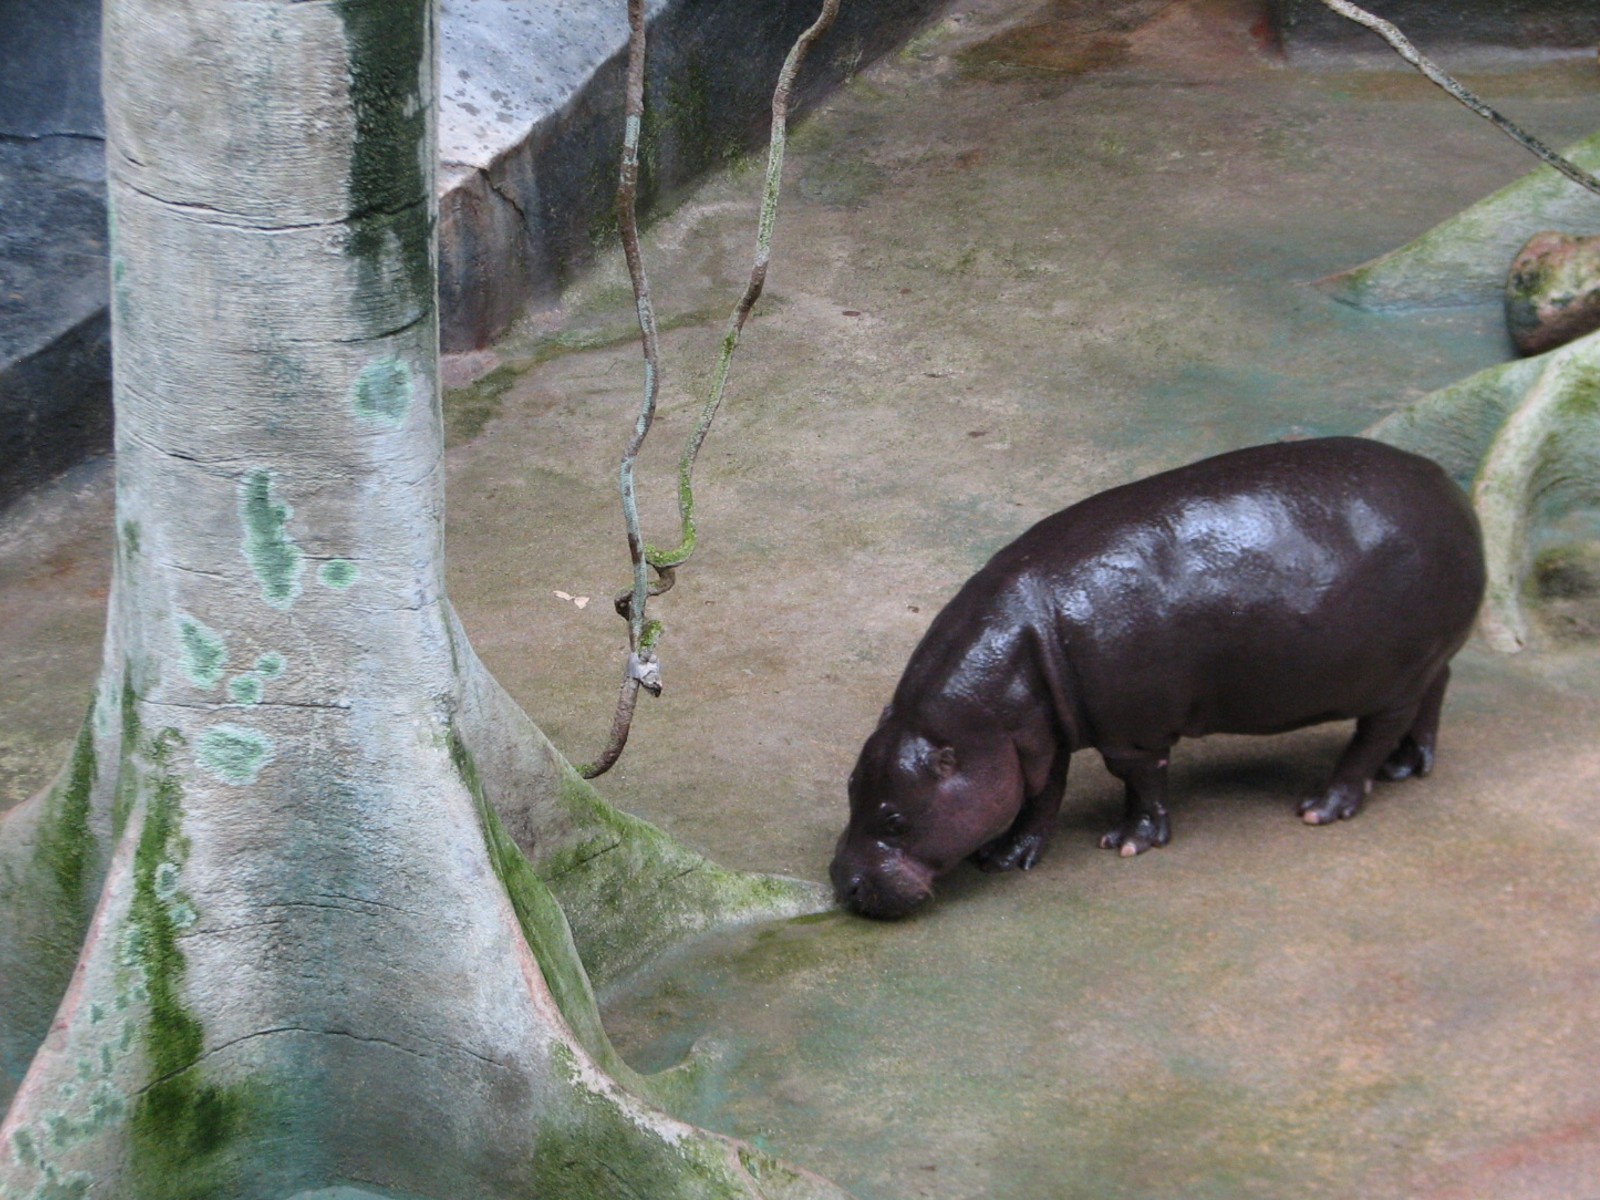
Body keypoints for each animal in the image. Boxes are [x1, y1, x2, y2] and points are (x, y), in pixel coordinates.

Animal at [831, 437, 1486, 919]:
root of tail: (1448, 485)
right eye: (851, 787)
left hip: (1390, 679)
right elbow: (1040, 795)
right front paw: (1005, 855)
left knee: (1373, 735)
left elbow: (1139, 781)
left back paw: (1323, 805)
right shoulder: (1033, 741)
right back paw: (1407, 767)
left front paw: (1127, 843)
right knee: (1438, 690)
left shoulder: (1130, 731)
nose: (844, 885)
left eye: (894, 819)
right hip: (1428, 660)